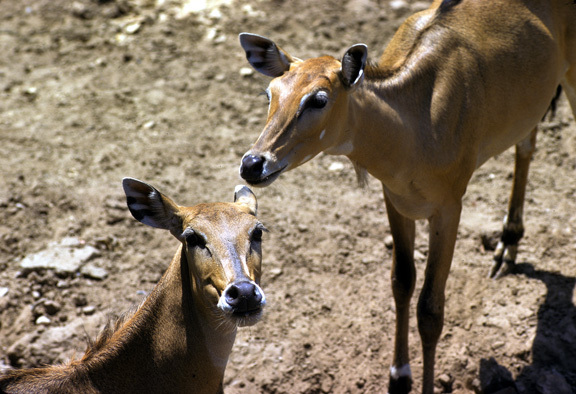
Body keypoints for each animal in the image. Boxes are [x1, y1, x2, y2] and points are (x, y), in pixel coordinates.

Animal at [235, 0, 576, 390]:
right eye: (270, 93)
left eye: (318, 99)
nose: (253, 163)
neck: (415, 125)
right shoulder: (396, 199)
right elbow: (401, 281)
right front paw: (399, 375)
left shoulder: (449, 207)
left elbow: (430, 308)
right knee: (527, 142)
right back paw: (507, 245)